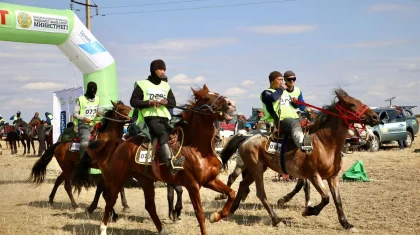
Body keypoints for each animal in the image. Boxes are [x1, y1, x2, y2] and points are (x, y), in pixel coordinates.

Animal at [74, 84, 236, 235]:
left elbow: (231, 193)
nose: (230, 103)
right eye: (207, 98)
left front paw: (216, 216)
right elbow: (200, 214)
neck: (197, 148)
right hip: (117, 178)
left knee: (149, 205)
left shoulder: (209, 180)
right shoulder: (193, 185)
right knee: (110, 199)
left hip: (145, 179)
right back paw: (103, 227)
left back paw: (162, 229)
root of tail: (121, 143)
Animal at [221, 89, 378, 232]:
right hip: (256, 169)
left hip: (255, 170)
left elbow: (337, 200)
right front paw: (308, 211)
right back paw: (276, 220)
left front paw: (346, 224)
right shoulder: (314, 176)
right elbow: (325, 198)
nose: (375, 117)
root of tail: (246, 137)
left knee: (242, 184)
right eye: (352, 104)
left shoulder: (333, 177)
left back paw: (230, 211)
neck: (325, 143)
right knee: (260, 193)